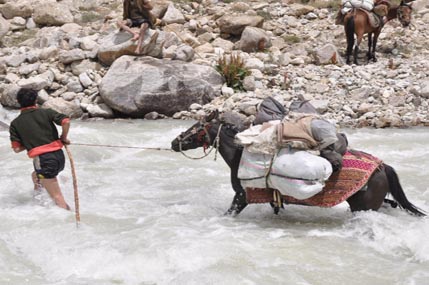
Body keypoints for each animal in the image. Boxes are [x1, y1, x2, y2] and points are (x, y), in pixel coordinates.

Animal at [171, 110, 424, 216]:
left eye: (195, 127)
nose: (175, 142)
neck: (239, 154)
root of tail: (382, 166)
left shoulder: (242, 196)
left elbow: (229, 214)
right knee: (391, 204)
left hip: (364, 206)